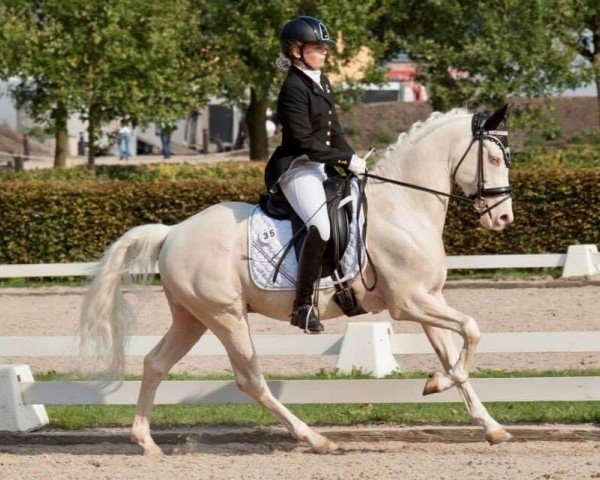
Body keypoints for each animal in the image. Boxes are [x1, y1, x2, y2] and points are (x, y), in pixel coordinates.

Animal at [79, 104, 516, 454]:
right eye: (495, 158)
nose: (503, 217)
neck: (404, 206)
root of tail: (172, 232)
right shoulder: (408, 303)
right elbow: (472, 331)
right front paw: (437, 384)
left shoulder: (429, 298)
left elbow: (455, 349)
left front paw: (490, 426)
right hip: (225, 316)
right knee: (250, 379)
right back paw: (315, 438)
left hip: (193, 318)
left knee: (155, 363)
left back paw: (146, 443)